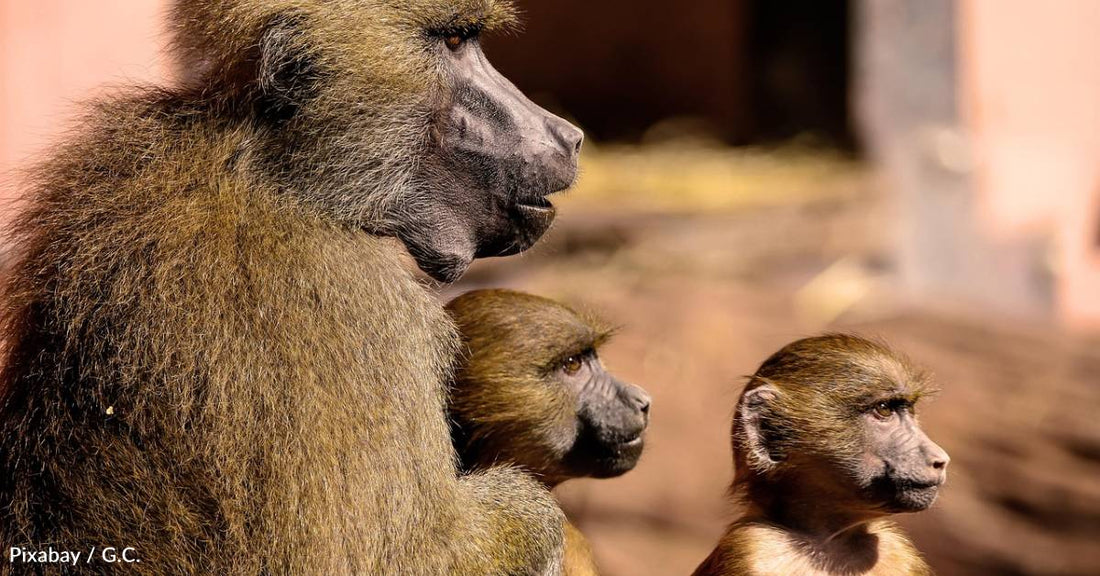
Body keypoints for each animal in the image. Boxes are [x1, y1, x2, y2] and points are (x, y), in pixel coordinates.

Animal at [692, 334, 950, 576]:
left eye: (909, 410)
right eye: (884, 409)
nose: (941, 460)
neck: (832, 542)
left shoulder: (898, 552)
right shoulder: (753, 548)